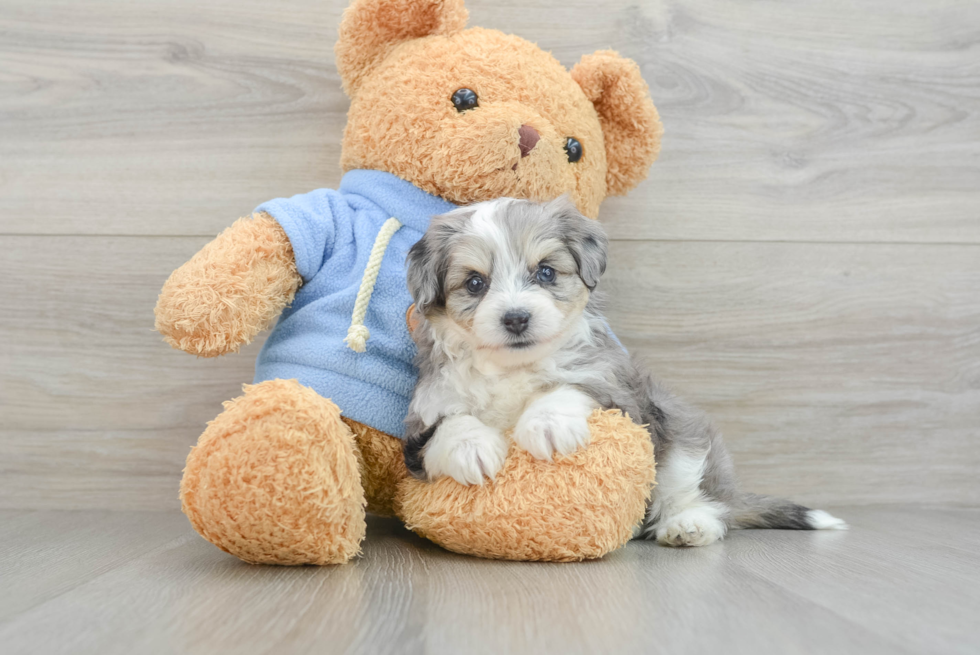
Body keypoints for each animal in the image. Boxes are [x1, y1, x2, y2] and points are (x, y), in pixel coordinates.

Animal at [402, 200, 848, 548]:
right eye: (475, 283)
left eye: (546, 272)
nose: (515, 318)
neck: (512, 368)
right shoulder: (422, 419)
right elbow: (448, 425)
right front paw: (470, 447)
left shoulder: (615, 387)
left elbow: (570, 386)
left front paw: (546, 424)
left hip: (682, 435)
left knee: (698, 496)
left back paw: (688, 525)